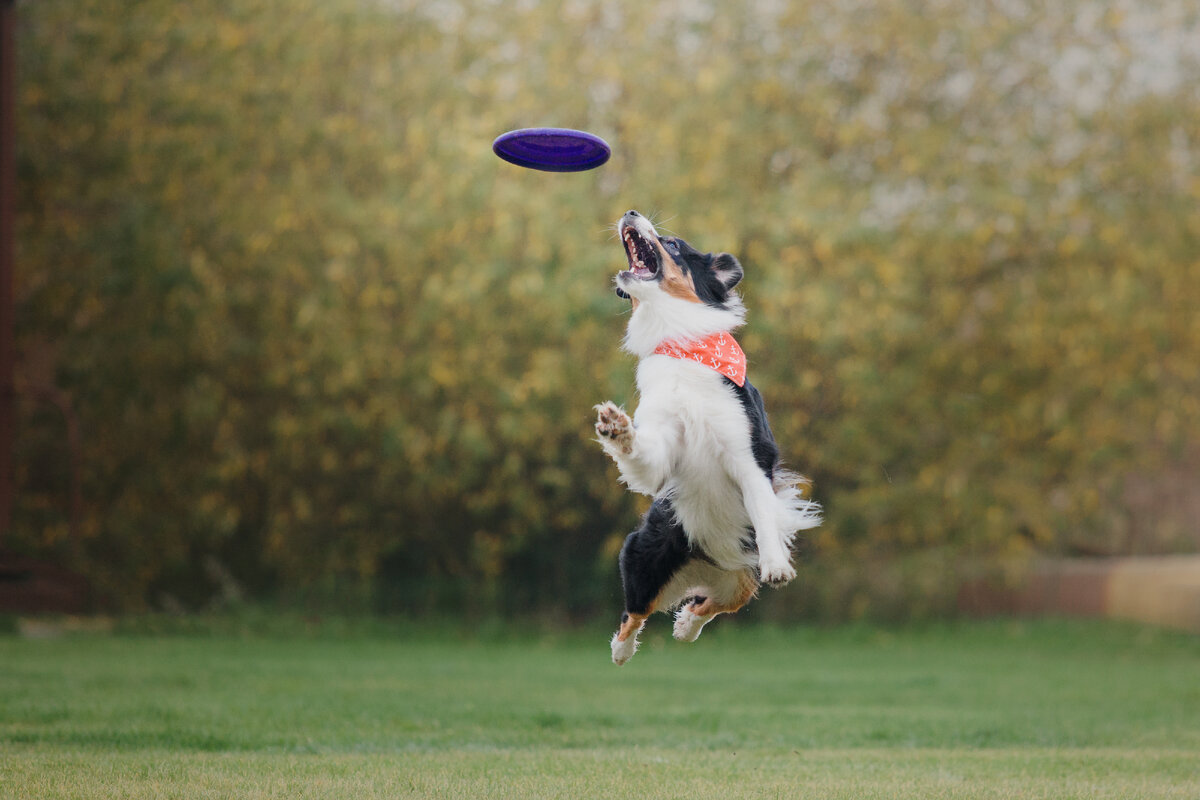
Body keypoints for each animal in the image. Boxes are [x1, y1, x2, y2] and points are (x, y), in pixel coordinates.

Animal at [595, 209, 820, 666]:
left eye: (674, 243)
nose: (629, 212)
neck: (682, 345)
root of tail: (705, 564)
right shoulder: (661, 452)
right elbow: (642, 455)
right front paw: (617, 428)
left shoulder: (747, 457)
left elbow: (764, 513)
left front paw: (778, 565)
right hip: (644, 553)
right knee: (636, 610)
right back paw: (623, 651)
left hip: (740, 574)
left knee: (713, 603)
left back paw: (684, 625)